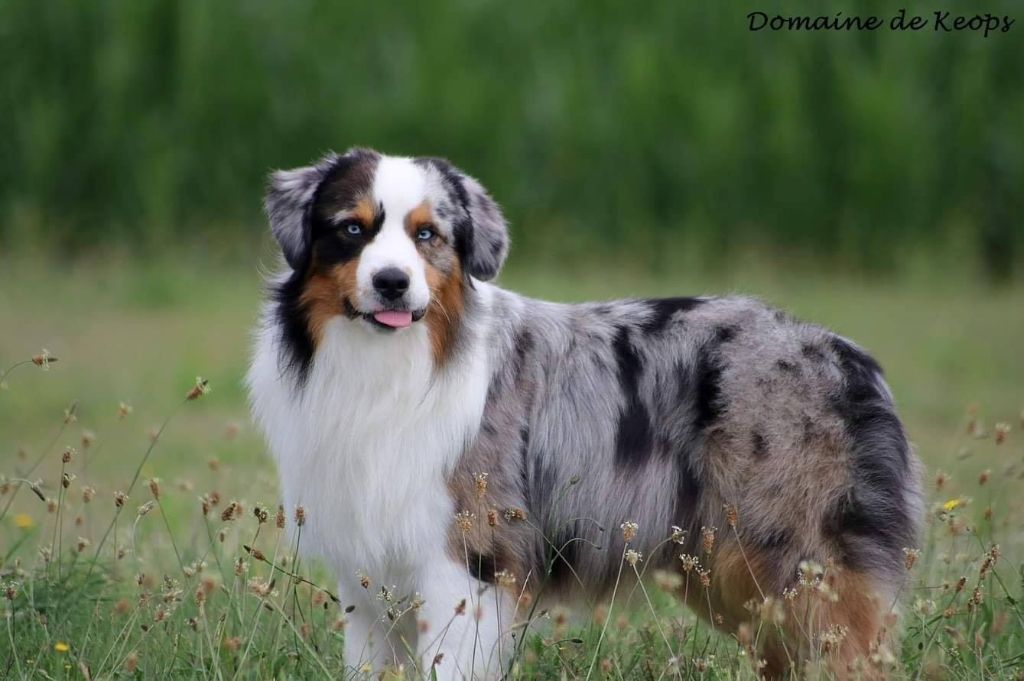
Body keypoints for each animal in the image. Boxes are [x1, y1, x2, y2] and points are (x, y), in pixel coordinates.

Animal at [247, 148, 924, 679]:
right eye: (351, 229)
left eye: (427, 235)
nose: (391, 282)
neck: (390, 368)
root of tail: (845, 355)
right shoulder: (368, 577)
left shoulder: (467, 560)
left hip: (800, 564)